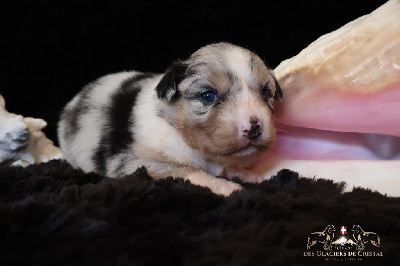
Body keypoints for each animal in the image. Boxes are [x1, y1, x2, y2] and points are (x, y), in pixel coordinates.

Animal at [57, 43, 282, 195]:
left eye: (265, 93)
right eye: (208, 96)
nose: (254, 127)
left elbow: (229, 166)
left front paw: (248, 174)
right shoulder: (136, 163)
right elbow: (189, 171)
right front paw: (228, 187)